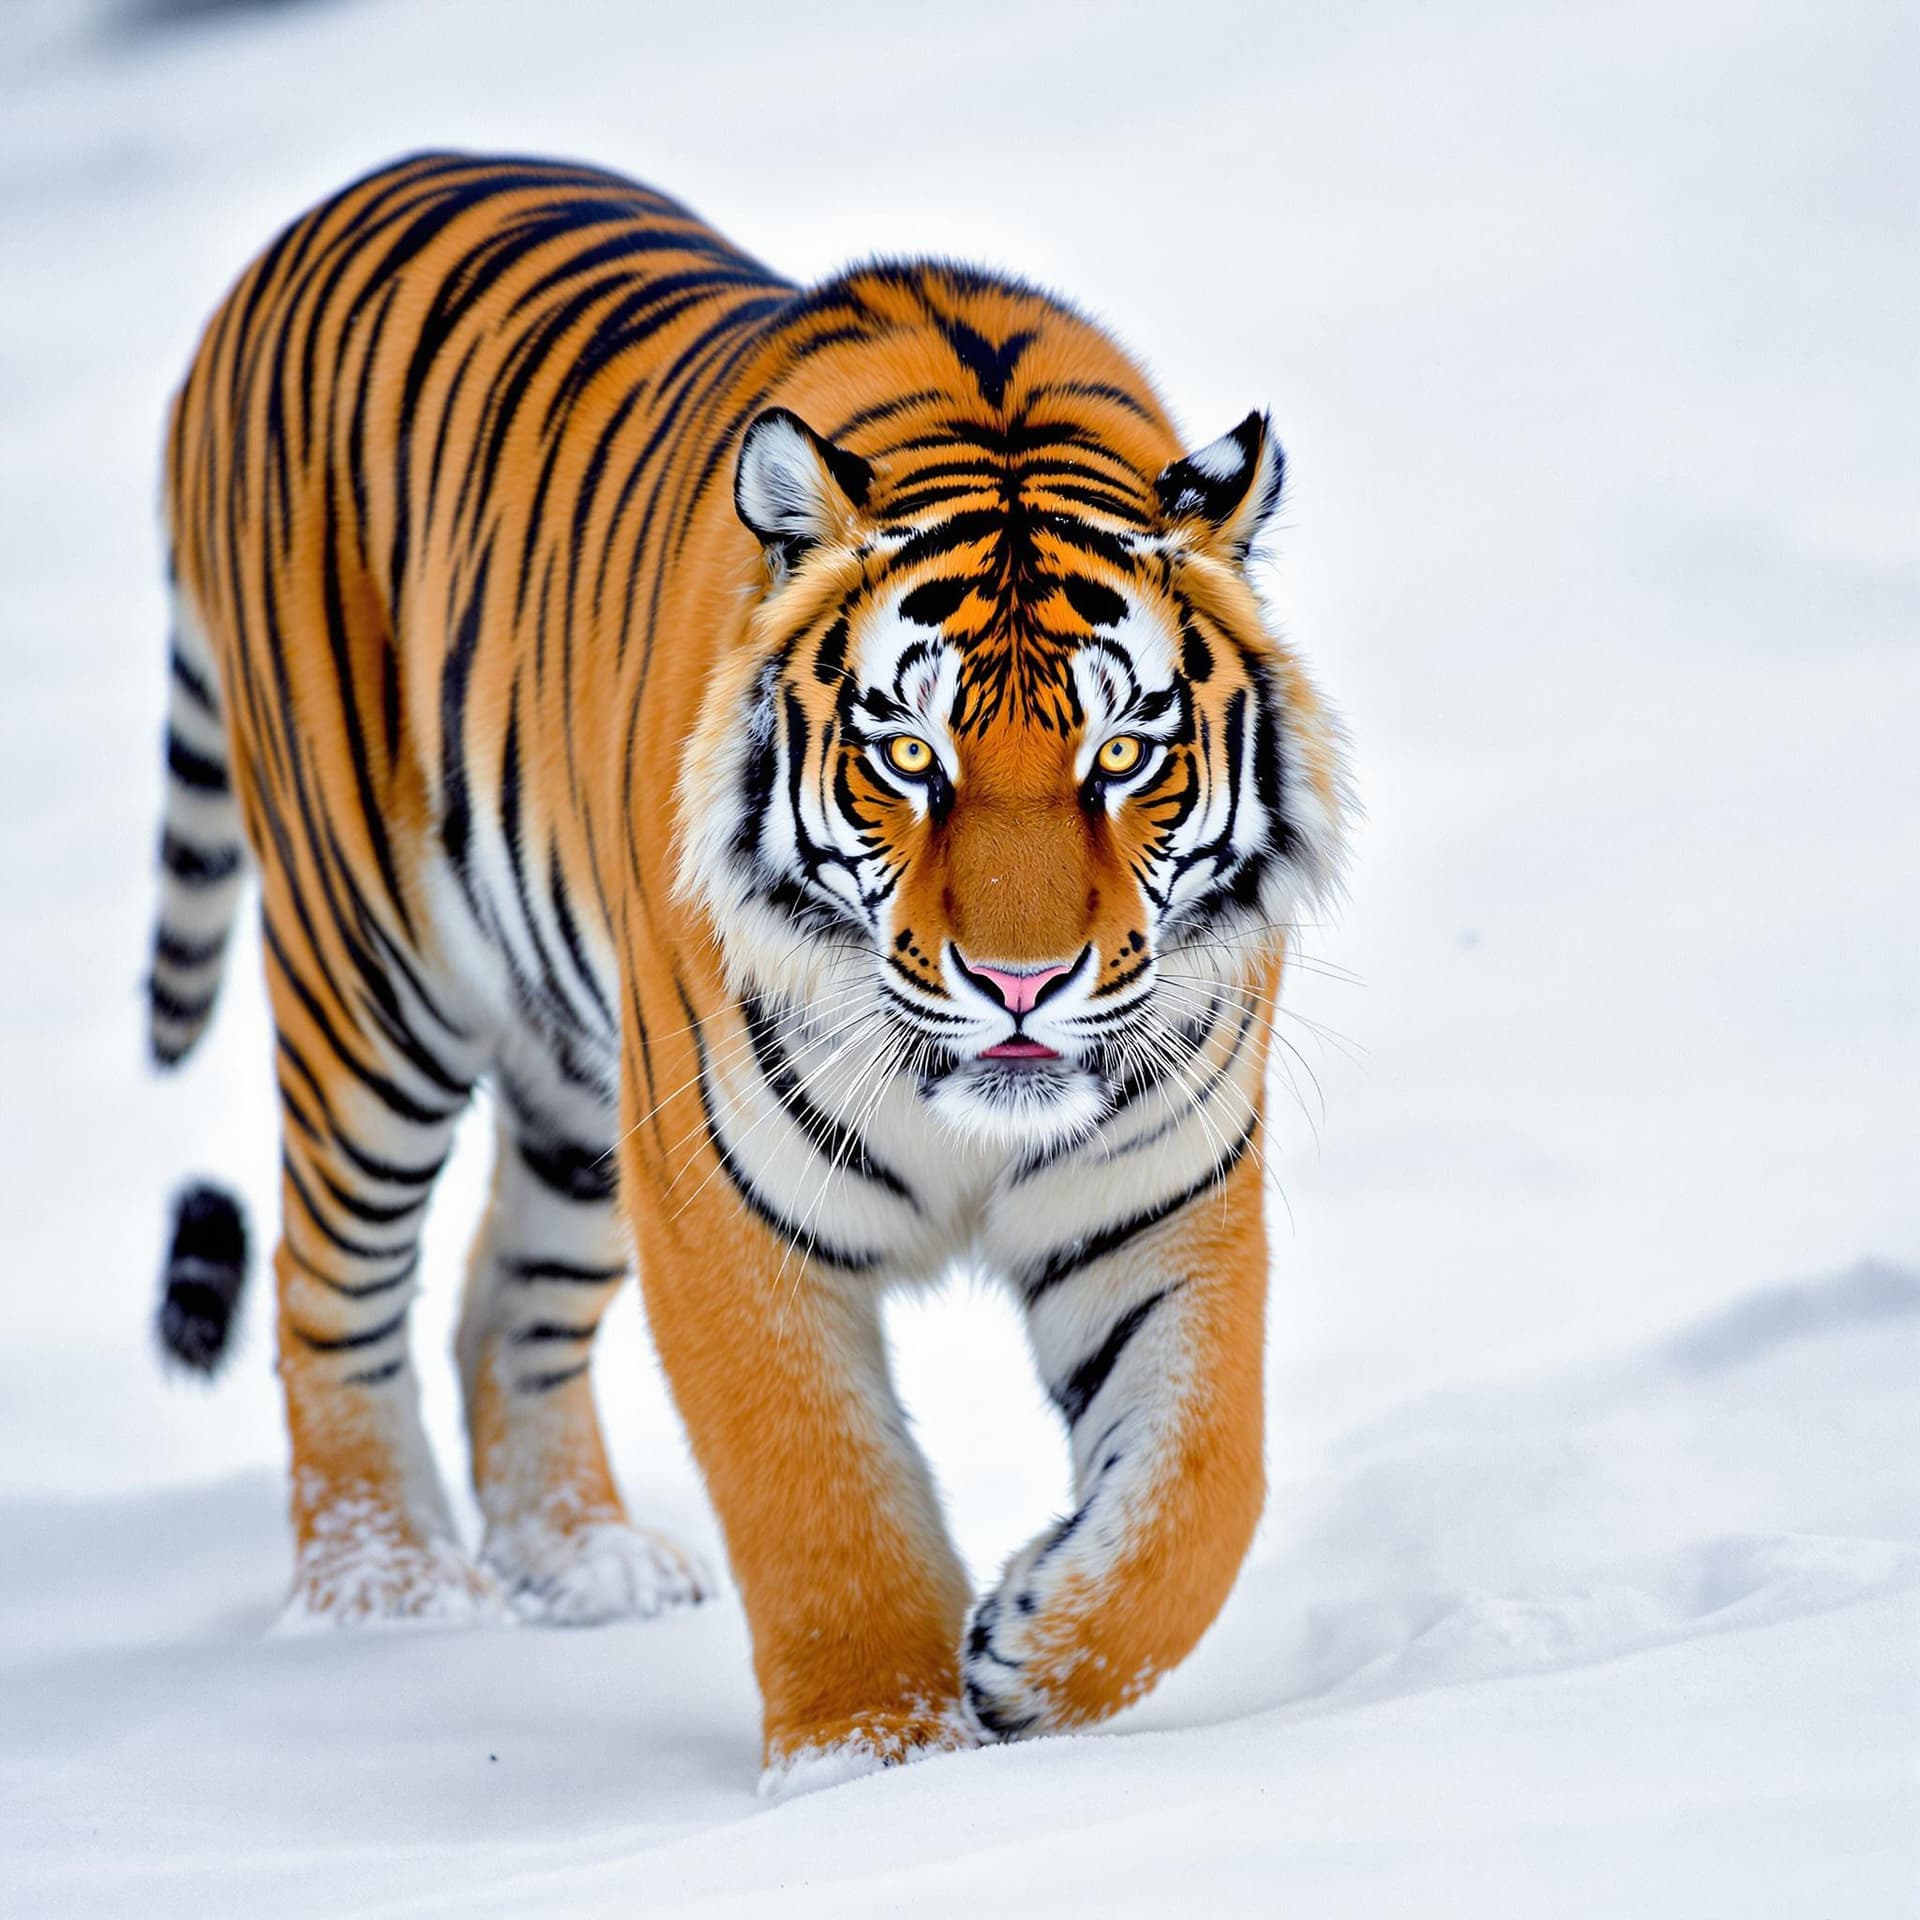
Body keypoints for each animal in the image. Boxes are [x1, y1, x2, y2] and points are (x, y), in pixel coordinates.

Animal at [148, 151, 1350, 1790]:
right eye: (909, 756)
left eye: (1121, 757)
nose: (1021, 984)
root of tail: (304, 226)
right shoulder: (724, 1196)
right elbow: (816, 1489)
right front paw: (872, 1762)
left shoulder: (1162, 1200)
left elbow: (1205, 1481)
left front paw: (1032, 1650)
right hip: (372, 979)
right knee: (323, 1283)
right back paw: (387, 1599)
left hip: (577, 1077)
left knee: (504, 1300)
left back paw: (584, 1568)